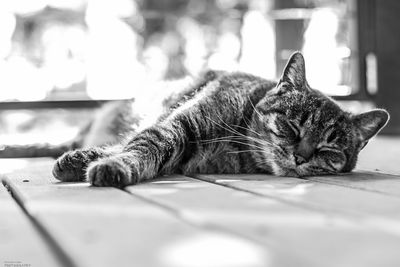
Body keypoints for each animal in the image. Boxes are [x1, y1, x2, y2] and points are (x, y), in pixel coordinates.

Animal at [51, 52, 390, 188]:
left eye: (327, 149)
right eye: (292, 126)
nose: (301, 156)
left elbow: (136, 145)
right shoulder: (178, 125)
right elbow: (143, 146)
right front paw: (112, 165)